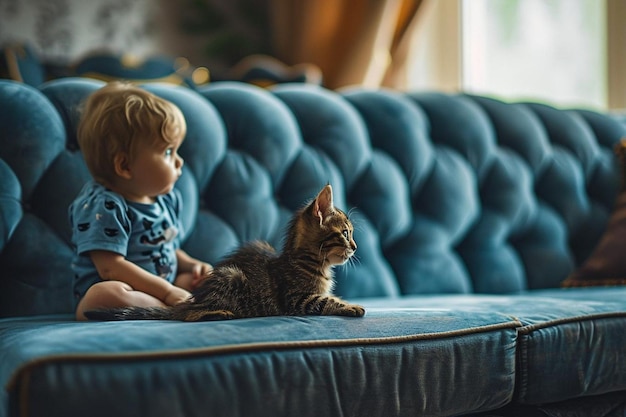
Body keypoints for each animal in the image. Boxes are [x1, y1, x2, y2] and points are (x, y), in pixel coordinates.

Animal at [85, 184, 364, 320]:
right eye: (346, 233)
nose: (355, 247)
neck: (312, 261)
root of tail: (193, 300)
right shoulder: (297, 299)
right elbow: (325, 301)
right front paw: (351, 306)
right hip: (231, 276)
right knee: (187, 317)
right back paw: (218, 313)